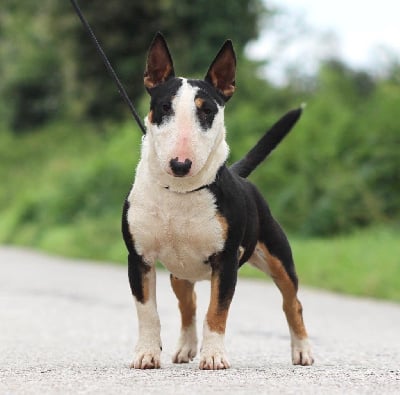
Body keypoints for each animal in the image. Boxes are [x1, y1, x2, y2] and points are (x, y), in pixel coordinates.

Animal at [120, 32, 314, 370]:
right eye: (164, 107)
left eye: (207, 111)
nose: (180, 164)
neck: (180, 191)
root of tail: (238, 173)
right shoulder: (139, 258)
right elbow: (148, 312)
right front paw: (146, 354)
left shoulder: (225, 263)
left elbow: (217, 312)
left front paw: (213, 356)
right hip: (180, 272)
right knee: (189, 304)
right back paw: (185, 348)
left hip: (277, 257)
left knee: (293, 302)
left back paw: (302, 351)